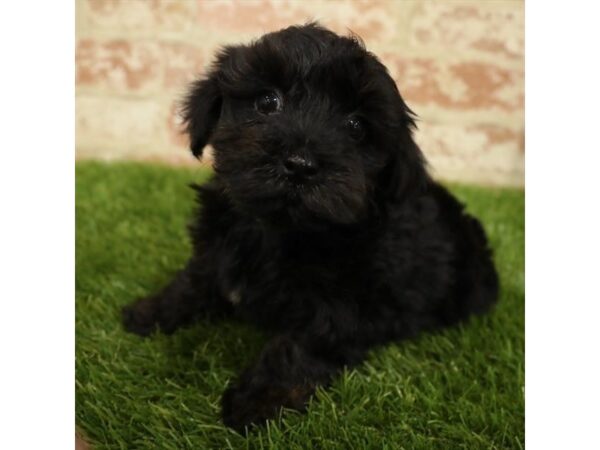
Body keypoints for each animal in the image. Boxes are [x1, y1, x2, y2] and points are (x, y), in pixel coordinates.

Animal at [120, 22, 496, 430]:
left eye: (356, 126)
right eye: (267, 101)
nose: (300, 164)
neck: (280, 230)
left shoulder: (344, 302)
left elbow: (299, 346)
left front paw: (259, 401)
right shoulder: (215, 249)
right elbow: (193, 281)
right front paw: (151, 313)